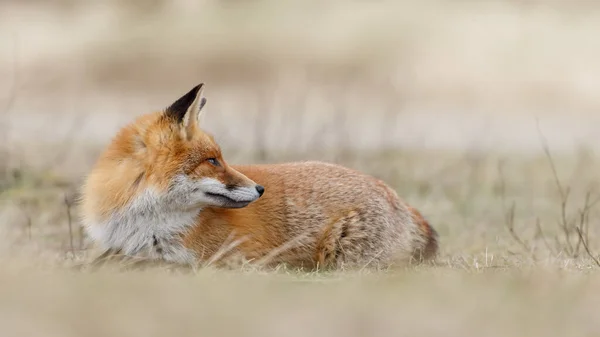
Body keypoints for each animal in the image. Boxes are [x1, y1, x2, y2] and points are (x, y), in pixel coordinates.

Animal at [79, 84, 438, 270]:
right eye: (213, 160)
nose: (260, 189)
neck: (141, 222)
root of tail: (399, 199)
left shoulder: (230, 260)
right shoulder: (112, 248)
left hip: (342, 259)